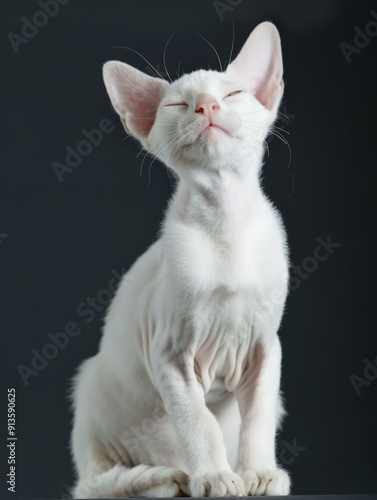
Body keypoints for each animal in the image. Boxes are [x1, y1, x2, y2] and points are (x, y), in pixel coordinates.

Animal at [71, 21, 290, 498]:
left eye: (232, 95)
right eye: (177, 104)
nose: (206, 106)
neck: (226, 223)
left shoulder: (265, 349)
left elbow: (259, 419)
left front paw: (259, 473)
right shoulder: (171, 356)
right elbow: (198, 422)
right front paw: (214, 477)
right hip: (90, 382)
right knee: (96, 483)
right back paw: (165, 478)